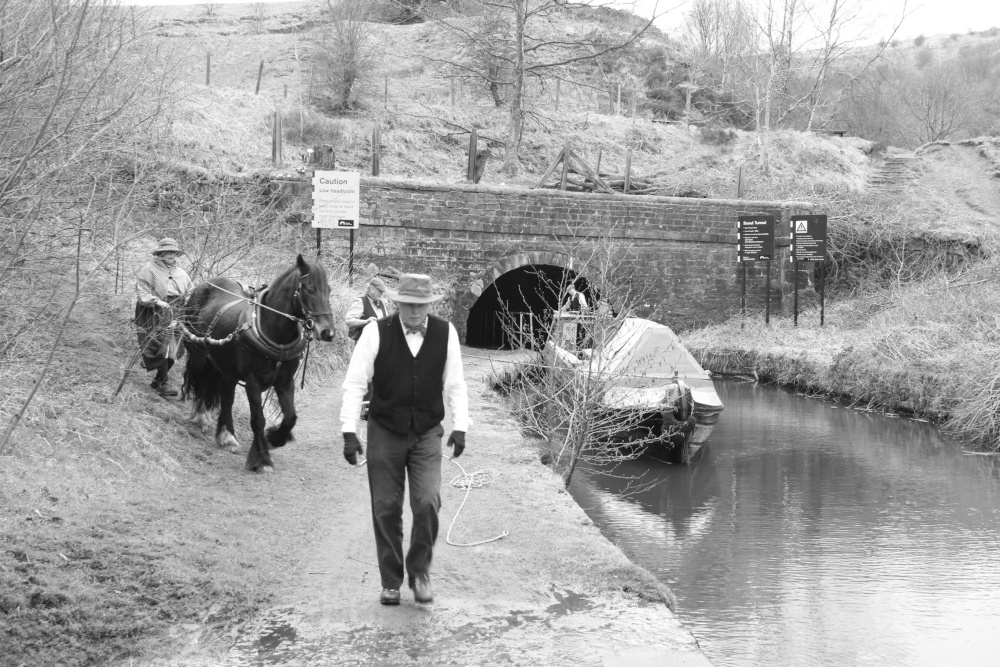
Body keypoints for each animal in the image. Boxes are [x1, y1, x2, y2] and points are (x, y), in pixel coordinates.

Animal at [182, 256, 334, 474]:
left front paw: (274, 438)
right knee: (200, 382)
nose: (328, 332)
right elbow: (258, 420)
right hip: (198, 356)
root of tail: (204, 285)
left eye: (328, 290)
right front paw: (261, 459)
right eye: (309, 289)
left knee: (226, 398)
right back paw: (201, 415)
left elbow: (290, 417)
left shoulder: (285, 381)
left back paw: (227, 435)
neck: (274, 333)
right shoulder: (253, 382)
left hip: (227, 370)